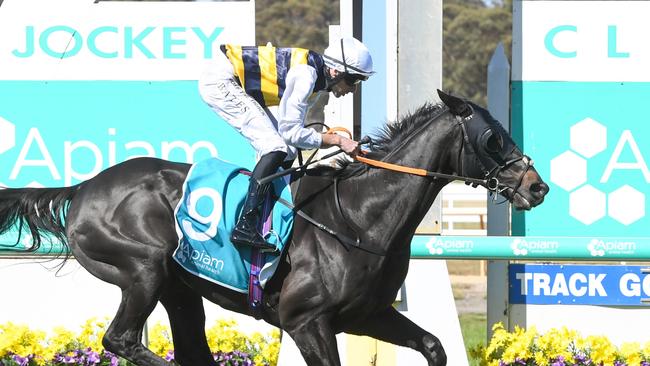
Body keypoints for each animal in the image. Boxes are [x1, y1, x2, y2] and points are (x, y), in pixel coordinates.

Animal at [0, 91, 548, 366]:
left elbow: (434, 346)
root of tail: (85, 187)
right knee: (120, 340)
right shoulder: (306, 322)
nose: (537, 186)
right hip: (143, 268)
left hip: (181, 288)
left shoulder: (368, 315)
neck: (359, 218)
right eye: (493, 137)